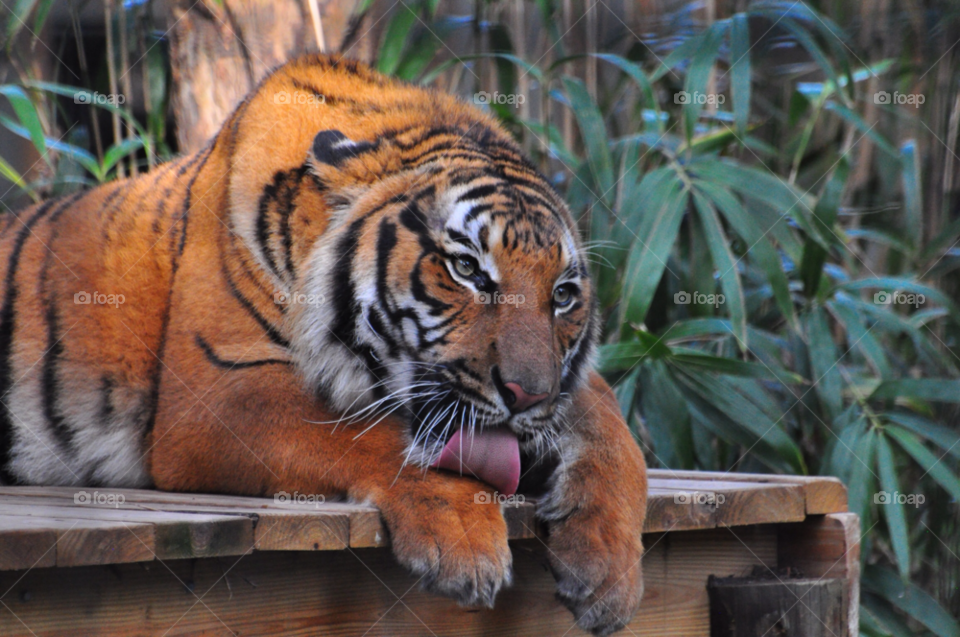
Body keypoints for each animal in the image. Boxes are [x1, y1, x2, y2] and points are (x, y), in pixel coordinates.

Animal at [0, 54, 647, 635]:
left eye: (562, 295)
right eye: (466, 268)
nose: (526, 396)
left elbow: (613, 426)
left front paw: (610, 570)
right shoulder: (217, 395)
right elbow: (368, 434)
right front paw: (463, 537)